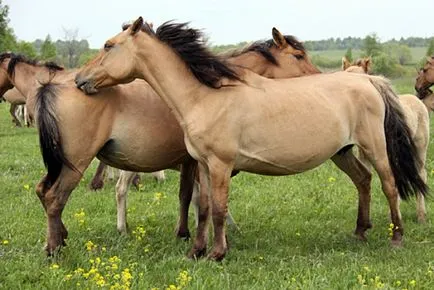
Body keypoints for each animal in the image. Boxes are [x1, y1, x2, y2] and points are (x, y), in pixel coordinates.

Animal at [75, 17, 428, 260]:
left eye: (108, 45)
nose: (80, 80)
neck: (204, 96)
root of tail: (369, 81)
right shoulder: (203, 165)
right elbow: (203, 208)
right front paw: (196, 251)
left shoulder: (220, 165)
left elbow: (218, 209)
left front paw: (217, 254)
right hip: (342, 152)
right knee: (363, 180)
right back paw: (359, 232)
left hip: (375, 148)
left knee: (389, 185)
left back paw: (396, 238)